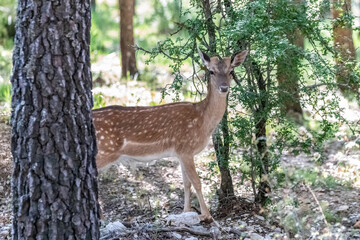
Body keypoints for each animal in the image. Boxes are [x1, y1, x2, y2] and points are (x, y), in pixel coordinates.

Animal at [93, 47, 248, 222]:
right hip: (104, 151)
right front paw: (206, 215)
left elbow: (186, 183)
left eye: (231, 71)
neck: (203, 120)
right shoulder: (186, 148)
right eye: (211, 71)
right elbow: (197, 182)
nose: (224, 88)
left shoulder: (180, 152)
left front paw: (186, 211)